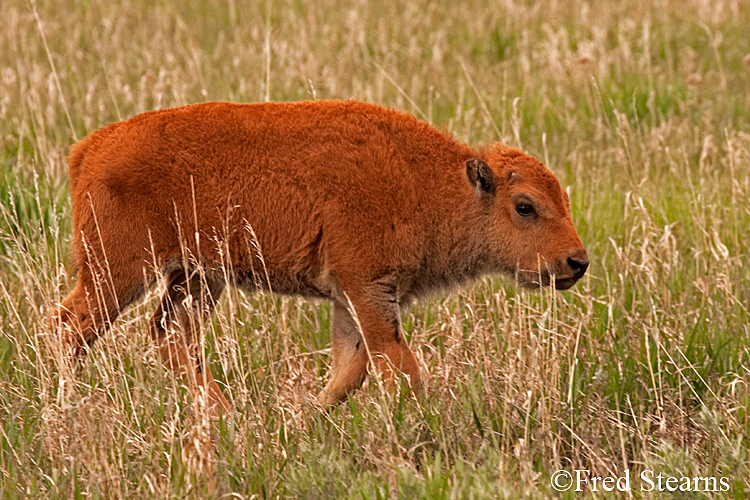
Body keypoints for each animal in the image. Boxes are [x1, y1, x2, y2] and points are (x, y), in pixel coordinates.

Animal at [53, 99, 592, 412]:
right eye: (525, 206)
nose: (577, 262)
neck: (432, 183)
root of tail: (88, 149)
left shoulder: (354, 297)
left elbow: (352, 369)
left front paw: (307, 417)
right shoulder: (366, 286)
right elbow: (399, 367)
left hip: (199, 277)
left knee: (167, 333)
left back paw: (222, 410)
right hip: (119, 272)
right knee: (70, 326)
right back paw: (66, 404)